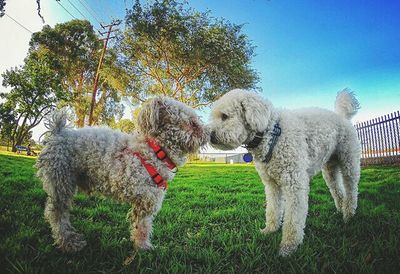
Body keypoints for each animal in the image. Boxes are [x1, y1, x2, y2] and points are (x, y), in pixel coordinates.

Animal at [36, 97, 209, 254]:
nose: (209, 133)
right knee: (56, 214)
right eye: (193, 123)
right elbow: (143, 226)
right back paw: (69, 242)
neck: (154, 152)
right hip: (61, 180)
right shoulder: (140, 193)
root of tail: (58, 132)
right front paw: (143, 247)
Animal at [209, 89, 362, 256]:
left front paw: (289, 246)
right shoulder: (271, 185)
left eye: (224, 116)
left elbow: (293, 219)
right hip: (330, 169)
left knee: (351, 190)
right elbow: (273, 210)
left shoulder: (294, 184)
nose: (210, 136)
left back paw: (349, 215)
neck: (271, 134)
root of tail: (342, 116)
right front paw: (269, 230)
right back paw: (341, 211)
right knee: (338, 191)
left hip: (349, 163)